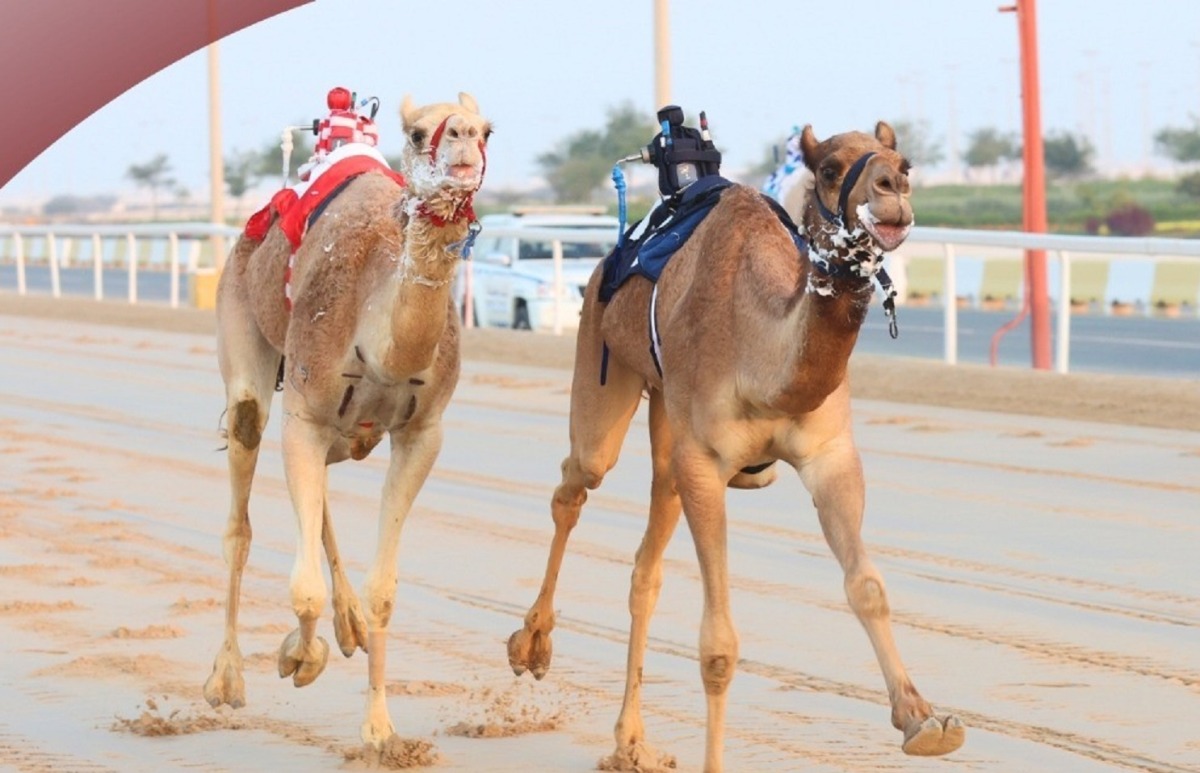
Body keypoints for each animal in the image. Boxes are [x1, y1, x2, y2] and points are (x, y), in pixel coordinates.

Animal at [206, 91, 492, 748]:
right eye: (417, 133)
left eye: (488, 128)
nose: (464, 140)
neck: (380, 345)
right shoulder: (305, 414)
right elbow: (302, 589)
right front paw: (298, 658)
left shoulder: (422, 433)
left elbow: (383, 588)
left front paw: (381, 728)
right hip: (245, 332)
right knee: (242, 502)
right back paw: (226, 679)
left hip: (340, 431)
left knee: (321, 501)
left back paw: (351, 626)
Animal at [506, 123, 964, 768]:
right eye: (828, 168)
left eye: (906, 164)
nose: (891, 193)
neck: (761, 357)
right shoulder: (704, 462)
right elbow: (718, 644)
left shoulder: (830, 455)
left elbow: (867, 587)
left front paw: (923, 719)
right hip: (602, 357)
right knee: (576, 481)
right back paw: (531, 645)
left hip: (666, 418)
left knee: (645, 569)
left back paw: (631, 740)